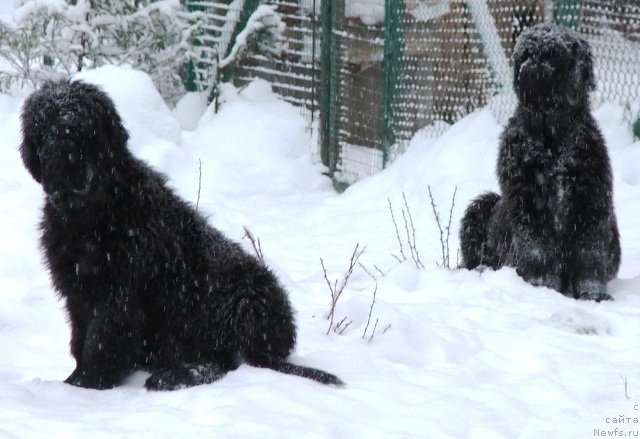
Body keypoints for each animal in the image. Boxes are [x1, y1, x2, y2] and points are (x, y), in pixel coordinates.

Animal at [20, 80, 342, 392]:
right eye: (43, 131)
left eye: (77, 130)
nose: (57, 164)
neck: (91, 210)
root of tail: (278, 344)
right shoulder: (77, 291)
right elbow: (80, 337)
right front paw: (76, 378)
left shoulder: (118, 293)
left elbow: (102, 339)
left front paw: (89, 383)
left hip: (235, 299)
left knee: (224, 362)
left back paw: (171, 377)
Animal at [460, 24, 620, 302]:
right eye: (526, 54)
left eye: (552, 55)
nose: (531, 68)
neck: (551, 138)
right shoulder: (527, 202)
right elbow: (537, 250)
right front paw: (541, 286)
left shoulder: (590, 201)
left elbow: (589, 252)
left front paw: (593, 293)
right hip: (481, 207)